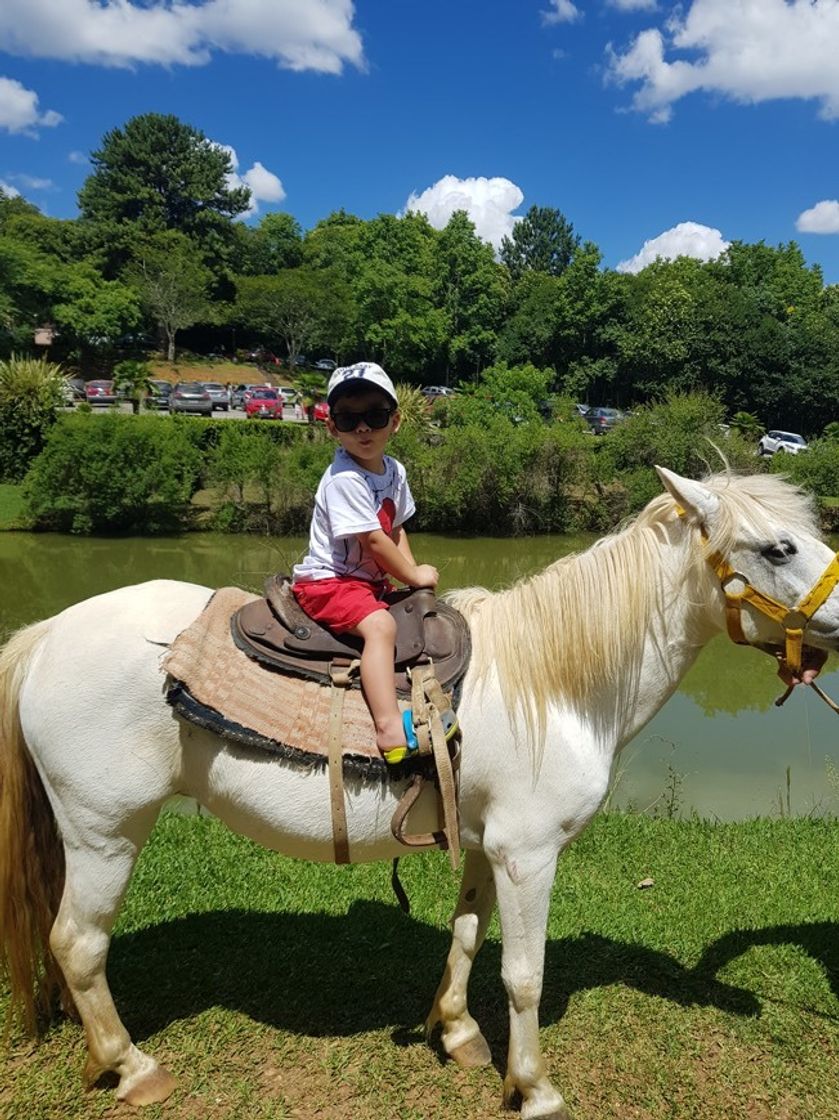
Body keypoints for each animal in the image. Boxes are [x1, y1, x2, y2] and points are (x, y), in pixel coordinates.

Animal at [1, 468, 837, 1115]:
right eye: (779, 547)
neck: (552, 684)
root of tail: (47, 634)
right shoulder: (529, 854)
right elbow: (524, 977)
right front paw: (532, 1088)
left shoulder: (488, 847)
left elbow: (466, 935)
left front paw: (457, 1032)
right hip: (105, 833)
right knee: (78, 944)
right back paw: (132, 1067)